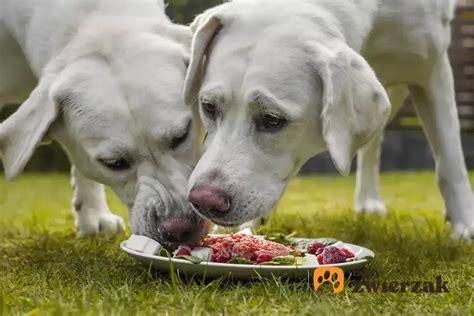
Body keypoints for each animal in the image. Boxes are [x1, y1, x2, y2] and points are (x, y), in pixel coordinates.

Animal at [184, 0, 474, 238]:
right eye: (208, 107)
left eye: (272, 120)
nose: (204, 201)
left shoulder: (432, 69)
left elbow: (450, 158)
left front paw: (465, 226)